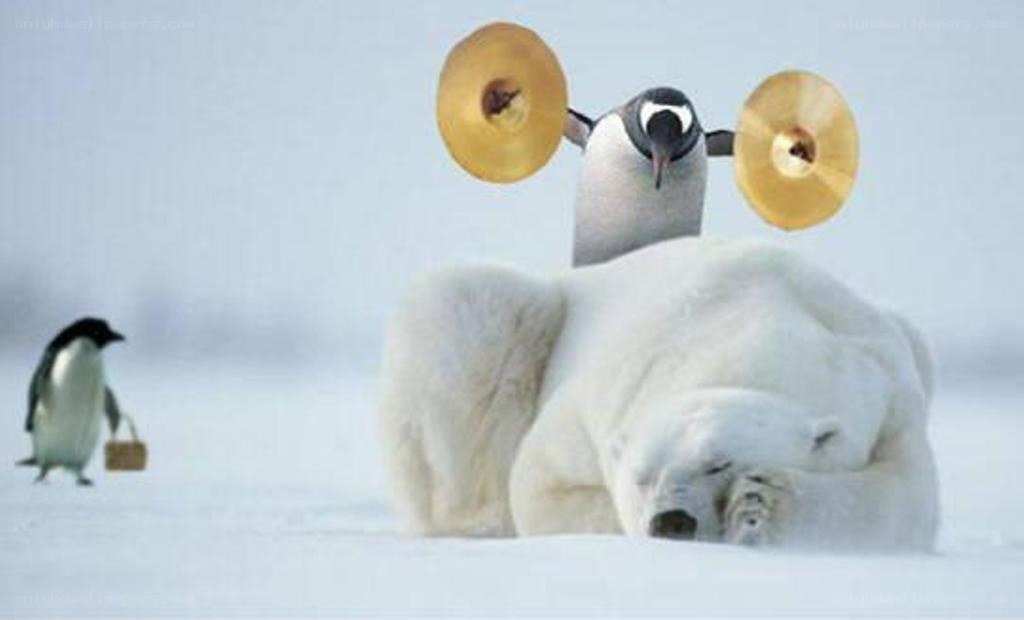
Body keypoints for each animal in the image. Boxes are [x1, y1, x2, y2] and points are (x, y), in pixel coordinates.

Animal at [378, 237, 938, 549]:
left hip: (912, 337)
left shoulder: (886, 387)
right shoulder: (598, 397)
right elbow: (540, 485)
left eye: (720, 464)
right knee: (463, 301)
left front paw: (760, 505)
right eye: (641, 477)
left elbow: (903, 499)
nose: (672, 521)